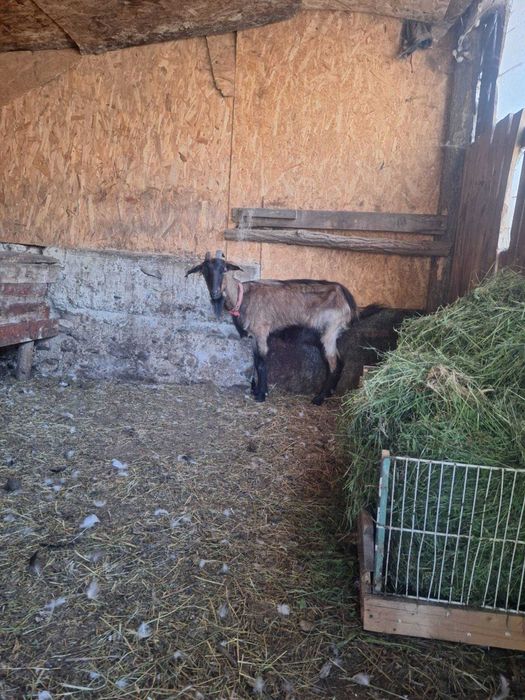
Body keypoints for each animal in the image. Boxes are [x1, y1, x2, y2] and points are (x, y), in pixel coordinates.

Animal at [186, 250, 380, 405]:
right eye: (204, 271)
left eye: (224, 269)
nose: (215, 293)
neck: (243, 298)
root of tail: (349, 300)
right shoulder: (254, 336)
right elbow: (256, 361)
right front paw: (258, 390)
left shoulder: (261, 331)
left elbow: (262, 363)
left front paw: (261, 395)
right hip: (323, 336)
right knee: (334, 363)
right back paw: (327, 394)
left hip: (330, 332)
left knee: (335, 364)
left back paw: (319, 399)